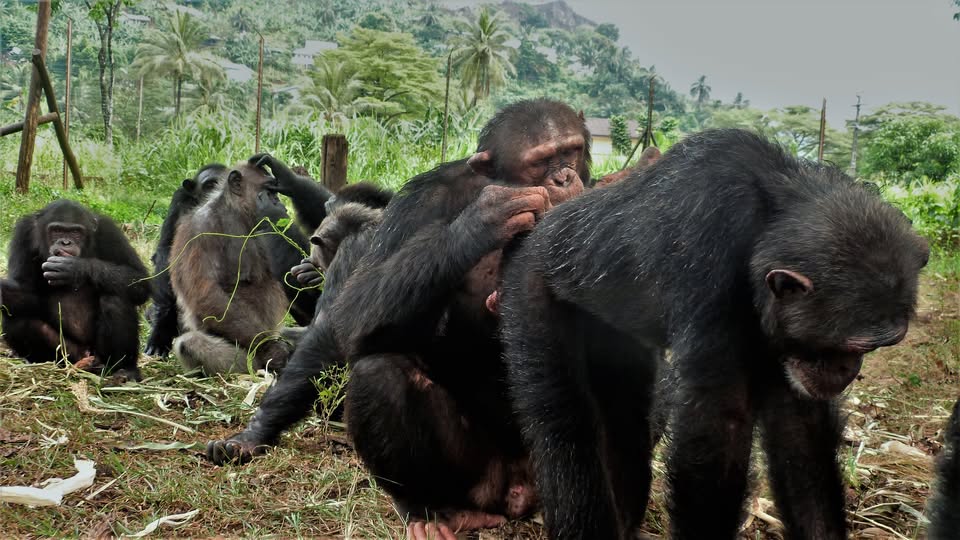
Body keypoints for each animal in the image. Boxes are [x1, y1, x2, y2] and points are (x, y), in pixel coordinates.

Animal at [0, 198, 150, 380]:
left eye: (76, 232)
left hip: (98, 353)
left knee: (115, 299)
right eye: (57, 230)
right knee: (17, 320)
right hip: (71, 353)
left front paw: (75, 268)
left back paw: (124, 369)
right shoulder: (23, 233)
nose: (65, 242)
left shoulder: (110, 232)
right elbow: (25, 288)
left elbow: (139, 280)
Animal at [169, 160, 296, 376]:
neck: (235, 212)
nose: (277, 201)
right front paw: (273, 349)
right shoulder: (200, 230)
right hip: (248, 362)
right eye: (269, 189)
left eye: (275, 191)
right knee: (188, 344)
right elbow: (207, 293)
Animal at [206, 99, 588, 536]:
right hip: (475, 479)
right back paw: (429, 510)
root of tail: (516, 495)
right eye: (541, 161)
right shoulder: (418, 202)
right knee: (380, 373)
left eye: (573, 150)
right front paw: (486, 218)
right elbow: (354, 313)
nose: (564, 176)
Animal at [498, 127, 932, 540]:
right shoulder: (711, 253)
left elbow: (799, 431)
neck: (771, 217)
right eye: (850, 347)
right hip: (526, 288)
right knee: (565, 428)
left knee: (627, 423)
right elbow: (717, 434)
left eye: (872, 350)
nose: (848, 370)